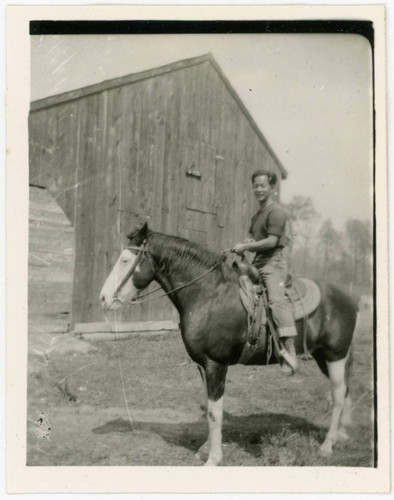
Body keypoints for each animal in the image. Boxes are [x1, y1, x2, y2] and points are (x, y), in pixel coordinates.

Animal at [100, 223, 358, 464]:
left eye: (125, 260)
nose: (103, 298)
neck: (209, 294)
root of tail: (348, 297)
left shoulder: (216, 364)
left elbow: (215, 412)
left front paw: (214, 458)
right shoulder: (202, 365)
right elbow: (209, 408)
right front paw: (205, 449)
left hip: (335, 355)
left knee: (338, 395)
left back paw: (327, 445)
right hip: (325, 357)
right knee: (345, 390)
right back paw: (343, 434)